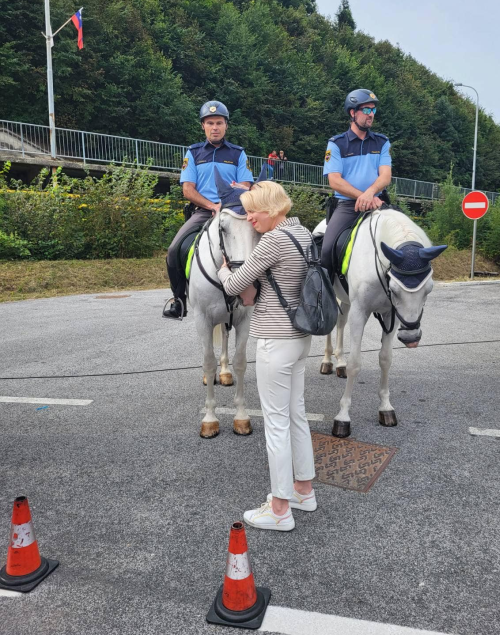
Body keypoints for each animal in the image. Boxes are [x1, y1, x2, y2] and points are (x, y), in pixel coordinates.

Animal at [187, 176, 260, 440]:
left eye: (257, 227)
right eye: (224, 228)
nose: (247, 285)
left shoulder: (243, 319)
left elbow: (240, 361)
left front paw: (241, 417)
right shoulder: (202, 319)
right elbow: (208, 361)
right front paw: (210, 420)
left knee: (226, 337)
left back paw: (225, 372)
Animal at [314, 206, 448, 440]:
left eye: (429, 289)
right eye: (394, 289)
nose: (411, 337)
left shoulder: (390, 315)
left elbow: (385, 359)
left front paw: (385, 408)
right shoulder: (360, 312)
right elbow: (355, 364)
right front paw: (343, 417)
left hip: (346, 300)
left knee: (340, 323)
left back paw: (339, 363)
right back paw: (328, 361)